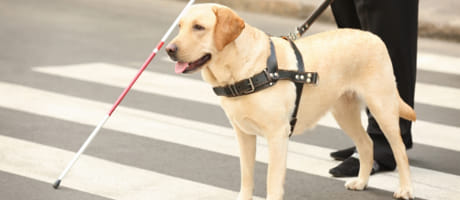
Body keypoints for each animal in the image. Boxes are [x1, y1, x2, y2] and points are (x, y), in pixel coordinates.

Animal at [166, 3, 416, 200]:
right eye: (180, 27)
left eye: (199, 27)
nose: (169, 49)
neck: (242, 70)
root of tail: (373, 36)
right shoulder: (243, 134)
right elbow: (246, 176)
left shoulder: (277, 135)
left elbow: (272, 181)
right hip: (344, 112)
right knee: (366, 143)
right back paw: (361, 181)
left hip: (382, 106)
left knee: (399, 149)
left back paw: (405, 189)